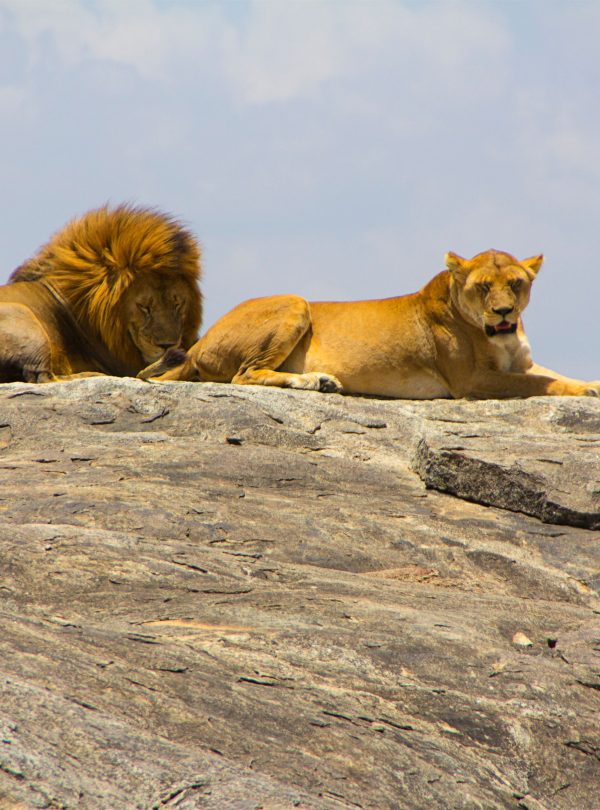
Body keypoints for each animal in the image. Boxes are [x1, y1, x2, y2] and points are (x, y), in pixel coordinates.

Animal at [0, 204, 202, 383]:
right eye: (144, 307)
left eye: (177, 304)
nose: (167, 346)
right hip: (24, 316)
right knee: (43, 377)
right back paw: (91, 375)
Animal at [138, 249, 600, 399]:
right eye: (484, 287)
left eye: (516, 284)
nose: (504, 312)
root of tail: (199, 343)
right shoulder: (471, 381)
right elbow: (540, 383)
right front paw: (584, 392)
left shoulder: (520, 362)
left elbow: (552, 374)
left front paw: (591, 384)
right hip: (296, 303)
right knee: (244, 375)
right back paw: (315, 381)